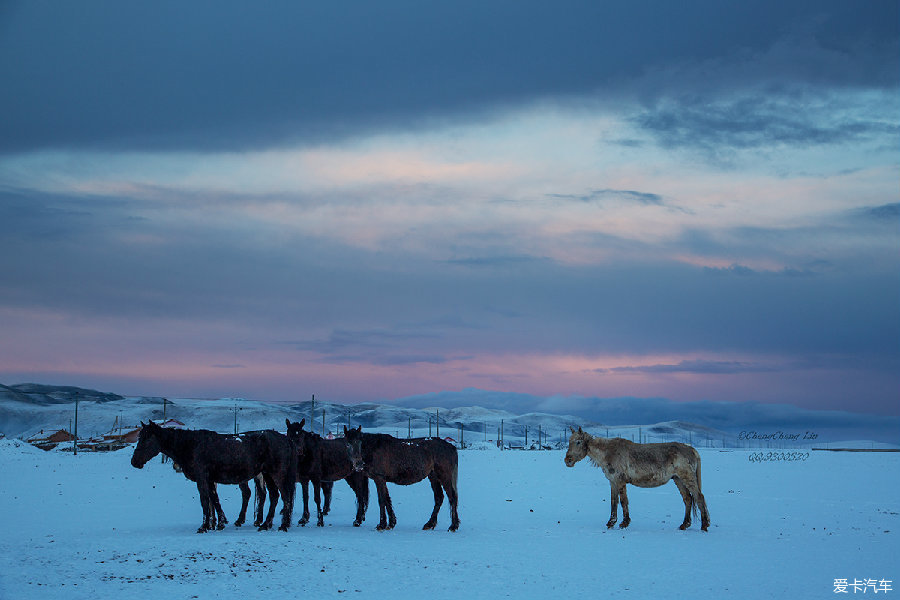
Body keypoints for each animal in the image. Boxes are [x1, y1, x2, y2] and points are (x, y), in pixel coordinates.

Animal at [132, 420, 298, 532]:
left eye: (147, 439)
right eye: (139, 437)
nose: (134, 462)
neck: (191, 445)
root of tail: (285, 439)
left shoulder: (202, 479)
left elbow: (205, 500)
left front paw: (204, 526)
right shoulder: (210, 480)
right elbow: (215, 500)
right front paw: (219, 522)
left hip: (276, 474)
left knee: (285, 496)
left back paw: (283, 525)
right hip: (267, 475)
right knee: (273, 496)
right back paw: (265, 524)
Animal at [564, 424, 712, 532]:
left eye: (578, 442)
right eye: (569, 441)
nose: (567, 460)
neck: (608, 453)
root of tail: (692, 450)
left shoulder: (620, 481)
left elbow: (623, 501)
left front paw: (624, 523)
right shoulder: (612, 482)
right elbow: (613, 502)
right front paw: (611, 523)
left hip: (687, 478)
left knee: (699, 497)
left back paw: (704, 525)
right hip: (678, 479)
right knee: (688, 499)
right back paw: (684, 525)